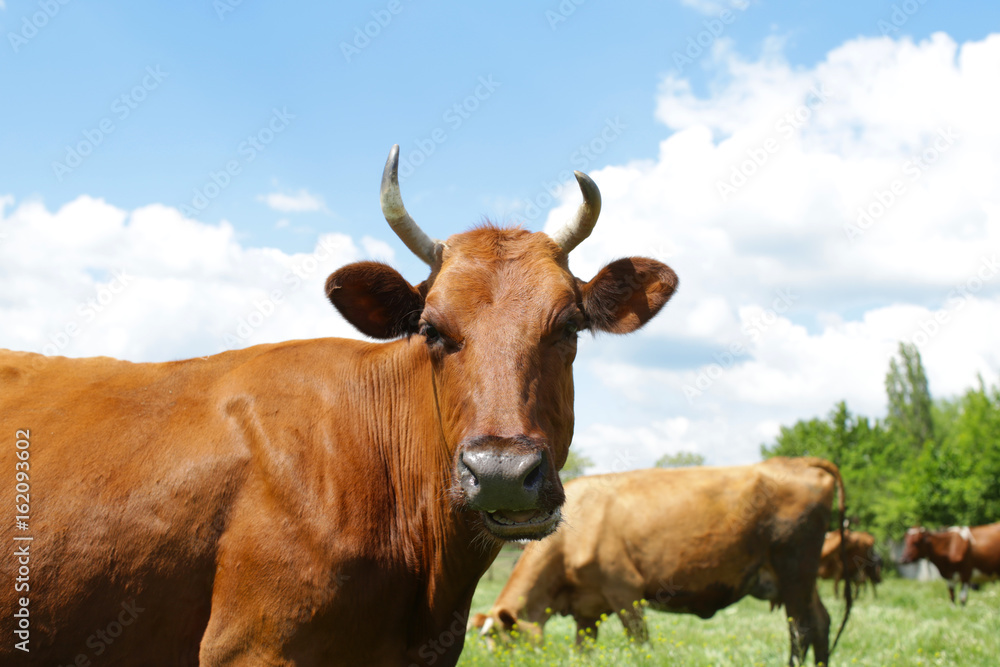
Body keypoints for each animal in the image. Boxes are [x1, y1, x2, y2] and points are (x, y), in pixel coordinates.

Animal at [472, 460, 848, 667]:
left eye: (504, 644)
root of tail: (797, 462)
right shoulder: (586, 609)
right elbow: (583, 652)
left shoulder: (625, 591)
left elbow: (641, 643)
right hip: (799, 578)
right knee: (820, 621)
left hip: (794, 568)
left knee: (800, 627)